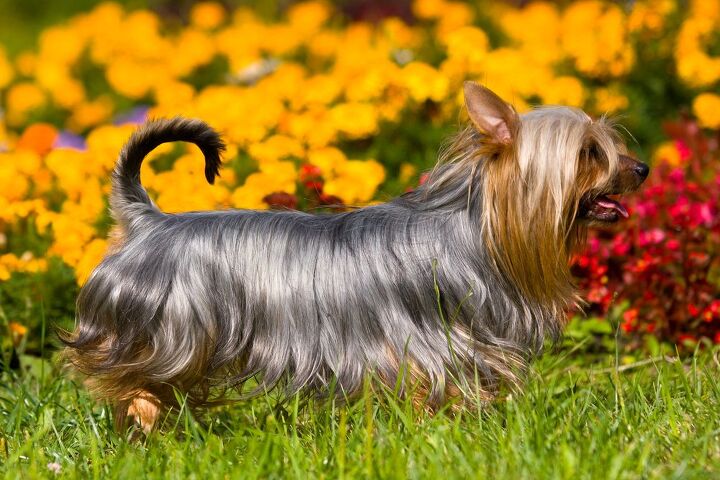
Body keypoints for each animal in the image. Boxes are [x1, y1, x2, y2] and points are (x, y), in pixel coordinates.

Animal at [60, 81, 648, 432]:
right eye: (590, 154)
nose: (641, 169)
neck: (480, 231)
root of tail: (147, 220)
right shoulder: (425, 347)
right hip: (164, 333)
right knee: (130, 380)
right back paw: (144, 421)